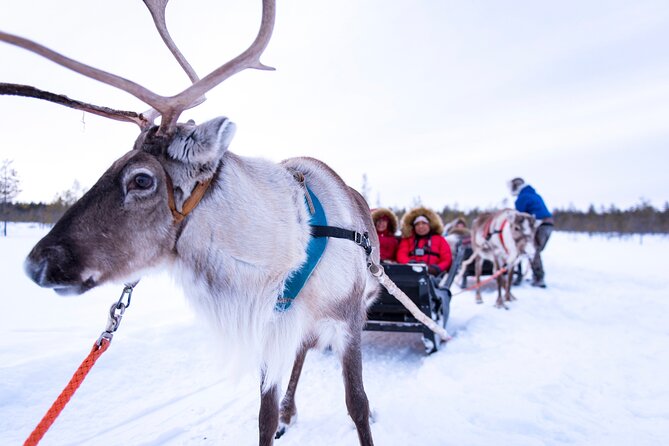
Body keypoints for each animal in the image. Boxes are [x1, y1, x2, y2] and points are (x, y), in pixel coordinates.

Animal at [1, 1, 380, 444]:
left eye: (142, 179)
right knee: (302, 353)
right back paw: (290, 411)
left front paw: (365, 415)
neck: (288, 252)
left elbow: (357, 404)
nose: (36, 264)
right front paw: (278, 416)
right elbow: (264, 417)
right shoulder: (271, 330)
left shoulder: (349, 320)